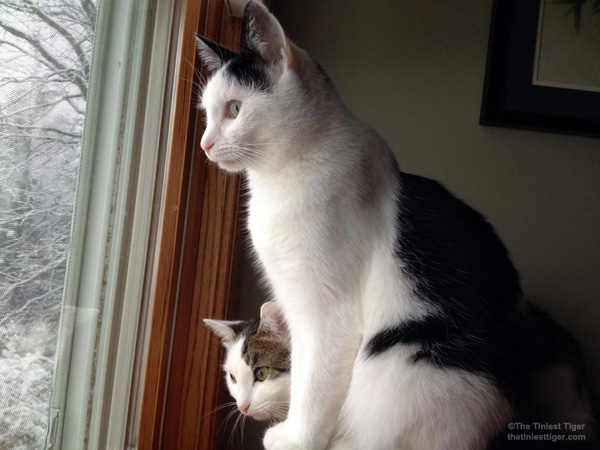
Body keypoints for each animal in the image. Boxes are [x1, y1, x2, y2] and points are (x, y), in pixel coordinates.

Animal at [197, 1, 528, 448]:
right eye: (206, 114)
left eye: (234, 108)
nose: (204, 145)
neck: (278, 178)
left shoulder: (328, 310)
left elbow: (313, 382)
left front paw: (296, 438)